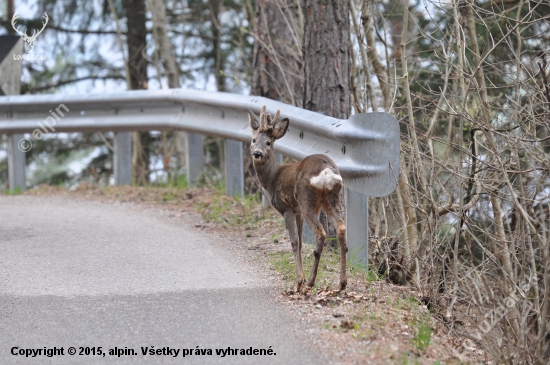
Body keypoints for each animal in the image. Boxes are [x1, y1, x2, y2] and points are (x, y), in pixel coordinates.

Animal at [250, 105, 350, 290]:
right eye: (254, 140)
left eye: (268, 142)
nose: (258, 153)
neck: (273, 177)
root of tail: (327, 171)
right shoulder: (297, 211)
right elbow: (301, 241)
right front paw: (300, 276)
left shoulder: (286, 207)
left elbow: (294, 241)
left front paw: (299, 279)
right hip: (332, 198)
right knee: (341, 227)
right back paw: (342, 283)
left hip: (307, 199)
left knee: (321, 233)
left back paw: (311, 281)